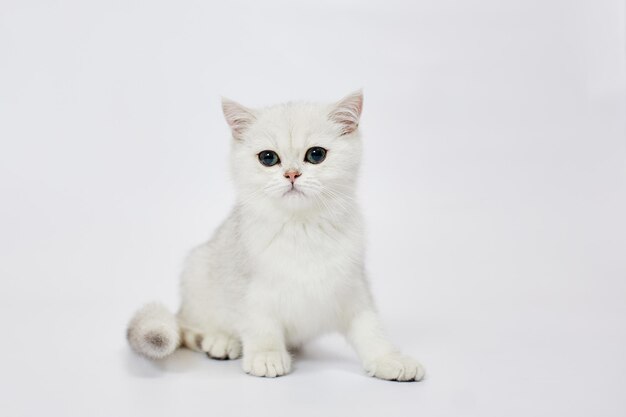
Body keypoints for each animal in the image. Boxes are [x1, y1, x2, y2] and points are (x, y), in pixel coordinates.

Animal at [129, 92, 426, 380]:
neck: (302, 228)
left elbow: (371, 329)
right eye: (268, 158)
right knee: (192, 327)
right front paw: (266, 355)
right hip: (198, 268)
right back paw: (222, 341)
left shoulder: (353, 288)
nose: (292, 174)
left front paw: (388, 359)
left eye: (316, 154)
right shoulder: (249, 289)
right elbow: (260, 326)